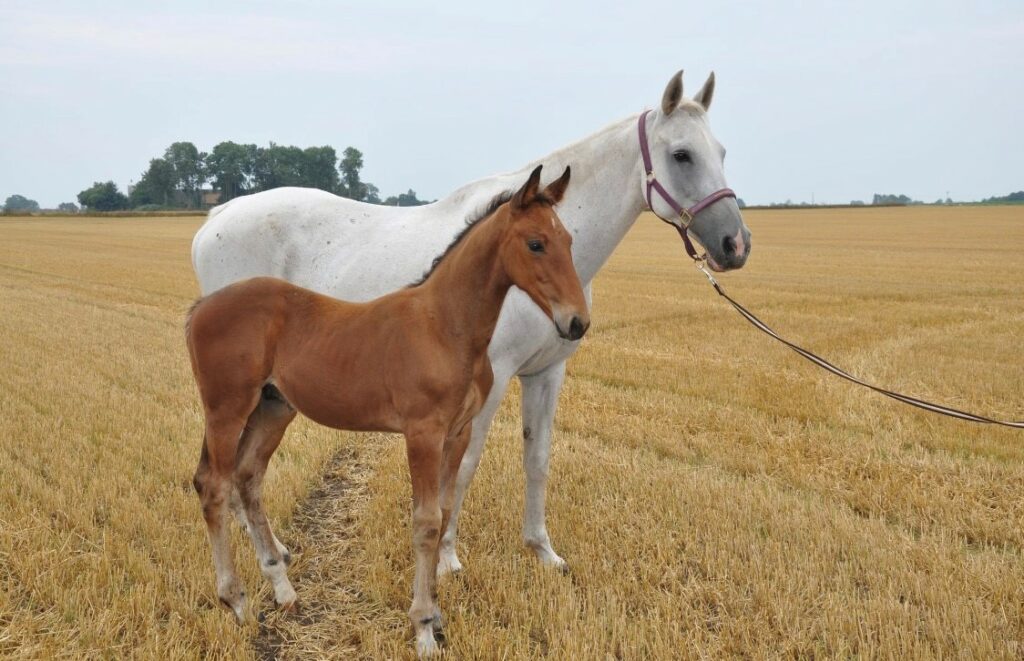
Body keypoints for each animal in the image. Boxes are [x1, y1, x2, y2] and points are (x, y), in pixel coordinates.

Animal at [187, 165, 589, 658]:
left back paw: (282, 588)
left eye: (568, 239)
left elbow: (444, 511)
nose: (577, 323)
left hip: (272, 408)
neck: (444, 327)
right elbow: (426, 522)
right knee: (214, 486)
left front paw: (436, 614)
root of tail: (200, 308)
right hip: (226, 409)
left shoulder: (457, 433)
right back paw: (237, 601)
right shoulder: (423, 434)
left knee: (247, 477)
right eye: (535, 243)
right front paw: (423, 627)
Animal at [192, 70, 753, 581]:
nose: (736, 244)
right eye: (682, 154)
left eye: (722, 151)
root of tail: (215, 217)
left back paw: (273, 554)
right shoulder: (492, 379)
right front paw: (446, 558)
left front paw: (542, 551)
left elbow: (537, 459)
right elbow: (461, 470)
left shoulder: (545, 374)